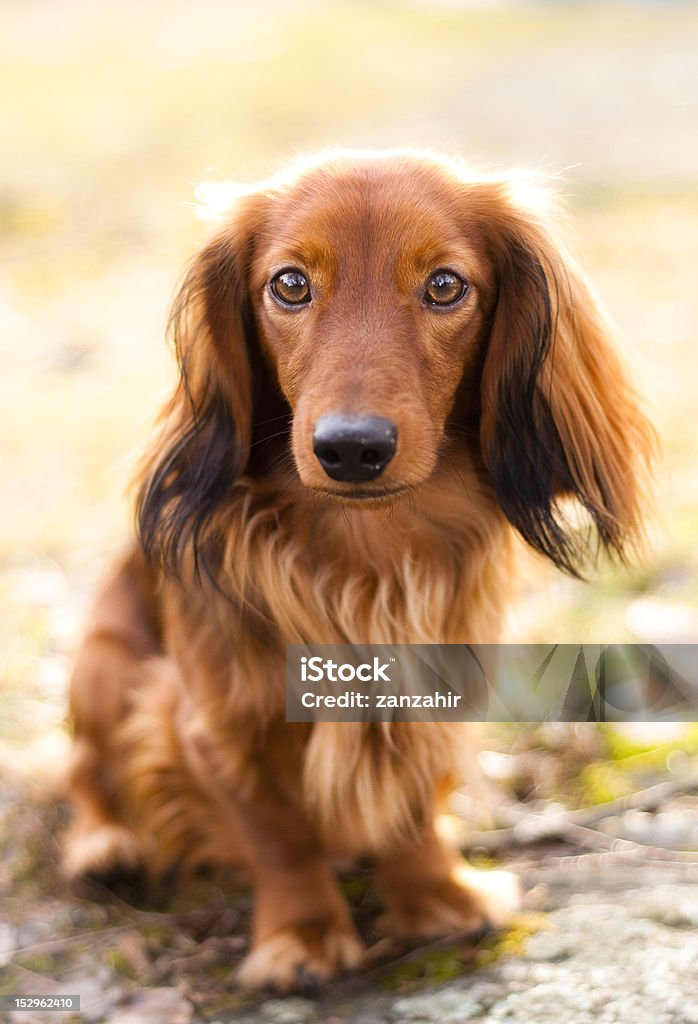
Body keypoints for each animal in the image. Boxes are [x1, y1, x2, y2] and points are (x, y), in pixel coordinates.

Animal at [62, 149, 650, 991]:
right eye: (289, 284)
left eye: (445, 285)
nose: (351, 448)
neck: (363, 554)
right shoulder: (210, 720)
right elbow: (275, 833)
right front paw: (300, 936)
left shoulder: (429, 687)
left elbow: (408, 796)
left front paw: (437, 897)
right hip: (103, 661)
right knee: (83, 770)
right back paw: (104, 844)